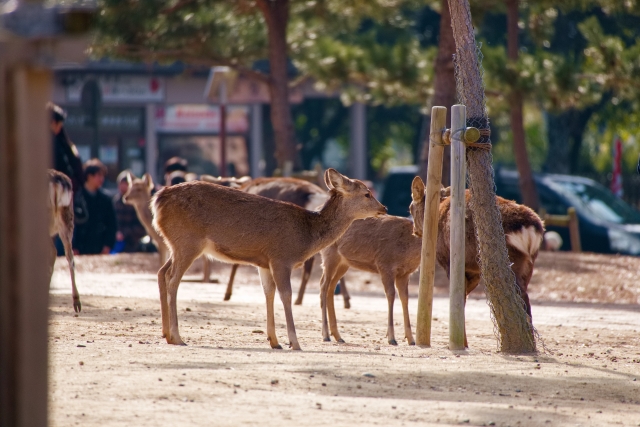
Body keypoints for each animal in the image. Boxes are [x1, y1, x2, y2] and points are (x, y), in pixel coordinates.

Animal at [152, 168, 387, 349]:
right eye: (367, 193)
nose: (384, 208)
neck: (306, 237)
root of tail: (157, 200)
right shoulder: (281, 257)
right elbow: (286, 295)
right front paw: (295, 342)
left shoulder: (264, 263)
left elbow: (268, 294)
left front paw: (275, 341)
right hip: (188, 241)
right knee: (173, 279)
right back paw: (177, 337)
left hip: (177, 244)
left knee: (162, 272)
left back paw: (166, 333)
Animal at [409, 176, 544, 347]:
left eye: (410, 208)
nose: (415, 231)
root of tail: (531, 228)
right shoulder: (474, 271)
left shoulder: (449, 261)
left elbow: (459, 298)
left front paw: (461, 343)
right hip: (529, 264)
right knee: (526, 297)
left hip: (513, 261)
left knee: (521, 296)